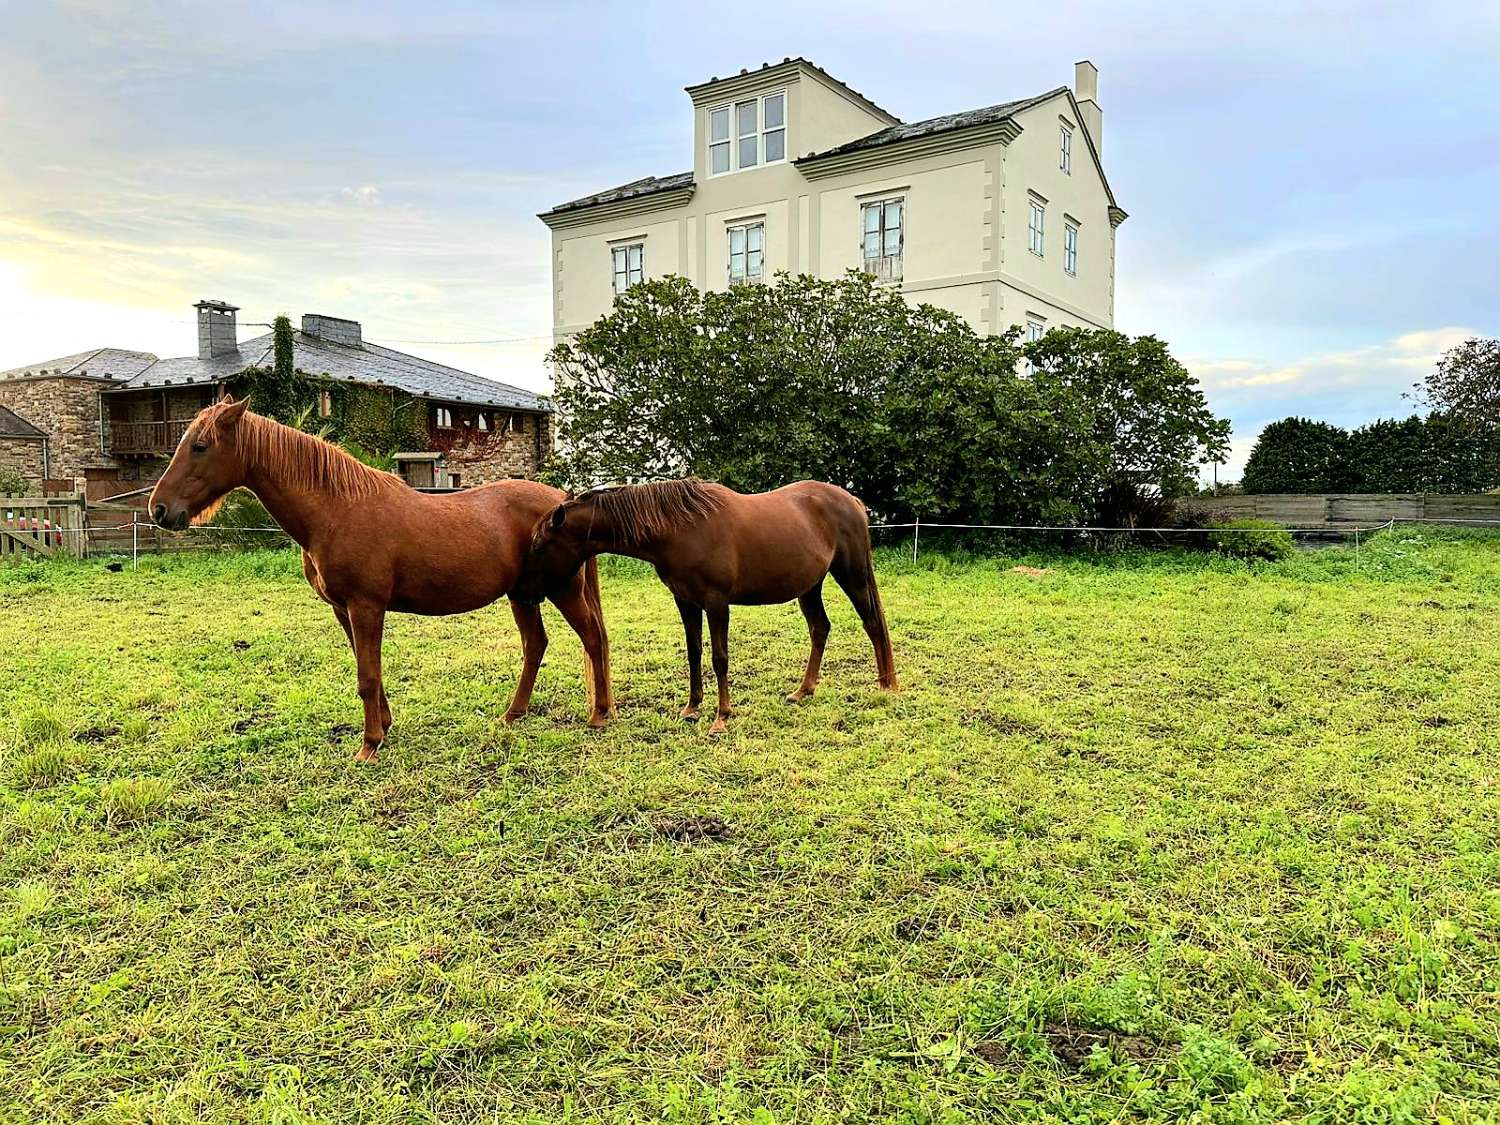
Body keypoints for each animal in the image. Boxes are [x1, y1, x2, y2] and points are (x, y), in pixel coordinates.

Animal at [143, 393, 606, 762]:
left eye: (199, 446)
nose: (160, 509)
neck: (337, 509)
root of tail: (563, 501)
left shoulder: (366, 606)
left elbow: (367, 676)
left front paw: (368, 746)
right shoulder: (344, 611)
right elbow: (370, 672)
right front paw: (383, 727)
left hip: (562, 591)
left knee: (592, 639)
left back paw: (600, 715)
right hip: (522, 594)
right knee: (535, 645)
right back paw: (512, 715)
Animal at [516, 477, 894, 735]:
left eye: (538, 545)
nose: (527, 593)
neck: (681, 528)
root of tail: (852, 501)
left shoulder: (716, 603)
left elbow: (719, 658)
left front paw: (721, 718)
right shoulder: (685, 601)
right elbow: (694, 652)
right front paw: (693, 708)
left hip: (853, 574)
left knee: (872, 623)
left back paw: (887, 686)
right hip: (810, 586)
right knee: (820, 628)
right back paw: (803, 691)